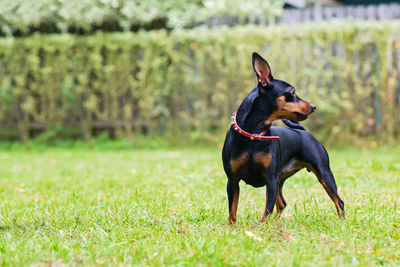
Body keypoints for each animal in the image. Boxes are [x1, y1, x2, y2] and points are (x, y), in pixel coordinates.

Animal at [220, 52, 346, 224]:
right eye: (292, 92)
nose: (313, 106)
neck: (254, 134)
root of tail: (304, 131)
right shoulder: (232, 181)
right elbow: (232, 210)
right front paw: (232, 228)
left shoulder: (271, 179)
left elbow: (267, 210)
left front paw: (261, 228)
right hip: (281, 178)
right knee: (281, 204)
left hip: (324, 173)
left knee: (339, 201)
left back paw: (343, 223)